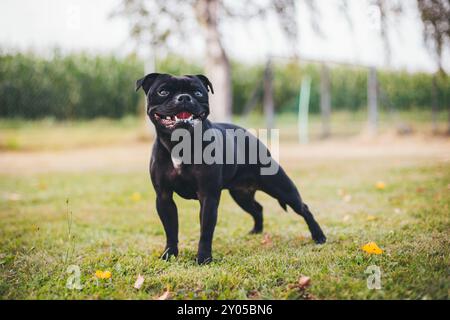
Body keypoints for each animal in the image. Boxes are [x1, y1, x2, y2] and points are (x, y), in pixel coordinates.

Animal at [135, 73, 326, 264]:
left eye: (197, 92)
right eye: (163, 91)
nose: (184, 98)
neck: (179, 143)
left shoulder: (208, 197)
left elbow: (206, 231)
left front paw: (203, 259)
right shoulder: (164, 198)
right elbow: (171, 230)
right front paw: (169, 255)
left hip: (281, 187)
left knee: (303, 208)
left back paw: (319, 236)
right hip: (241, 196)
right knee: (258, 208)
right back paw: (256, 232)